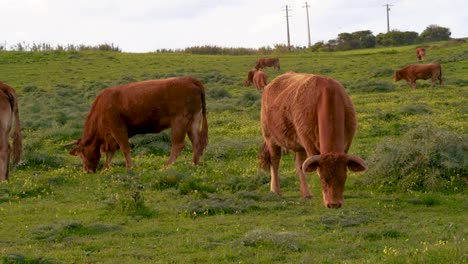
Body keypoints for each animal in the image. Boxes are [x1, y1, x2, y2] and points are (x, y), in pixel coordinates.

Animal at [64, 76, 208, 173]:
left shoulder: (118, 128)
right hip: (194, 120)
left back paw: (166, 167)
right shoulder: (111, 136)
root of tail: (189, 79)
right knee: (197, 142)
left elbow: (124, 148)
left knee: (178, 145)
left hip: (179, 121)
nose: (86, 171)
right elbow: (110, 151)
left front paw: (129, 167)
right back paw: (194, 164)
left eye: (82, 153)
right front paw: (105, 169)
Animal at [258, 72, 368, 208]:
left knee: (299, 165)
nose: (334, 204)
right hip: (270, 138)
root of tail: (269, 85)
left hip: (299, 146)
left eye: (344, 178)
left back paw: (306, 193)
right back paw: (275, 190)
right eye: (323, 179)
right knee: (275, 161)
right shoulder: (309, 143)